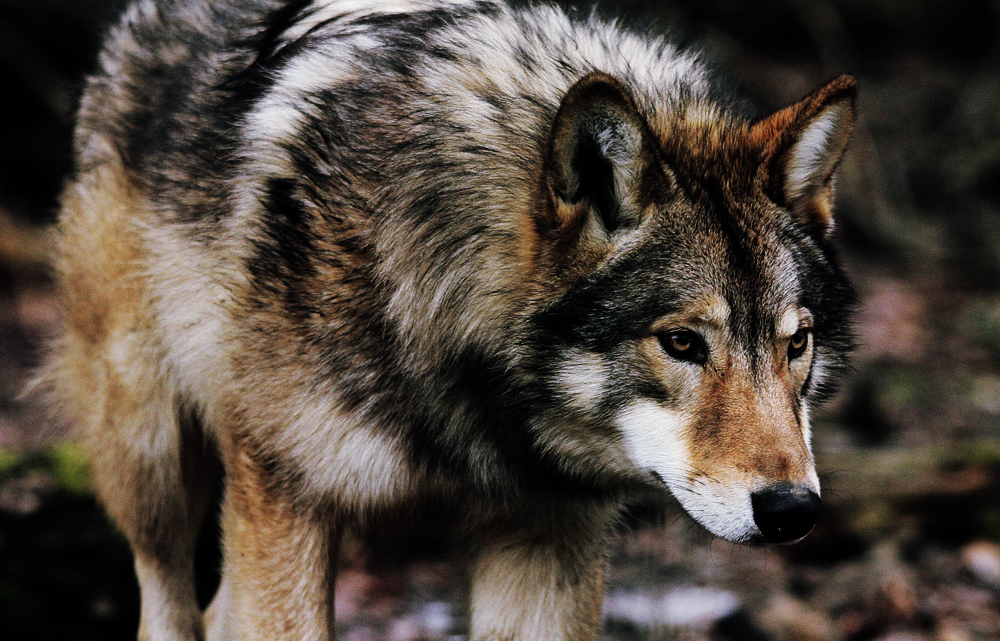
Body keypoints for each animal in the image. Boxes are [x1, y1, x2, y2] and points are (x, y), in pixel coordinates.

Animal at [41, 0, 857, 638]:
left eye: (797, 343)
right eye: (682, 342)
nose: (792, 510)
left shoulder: (550, 534)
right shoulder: (285, 497)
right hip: (152, 458)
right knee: (170, 601)